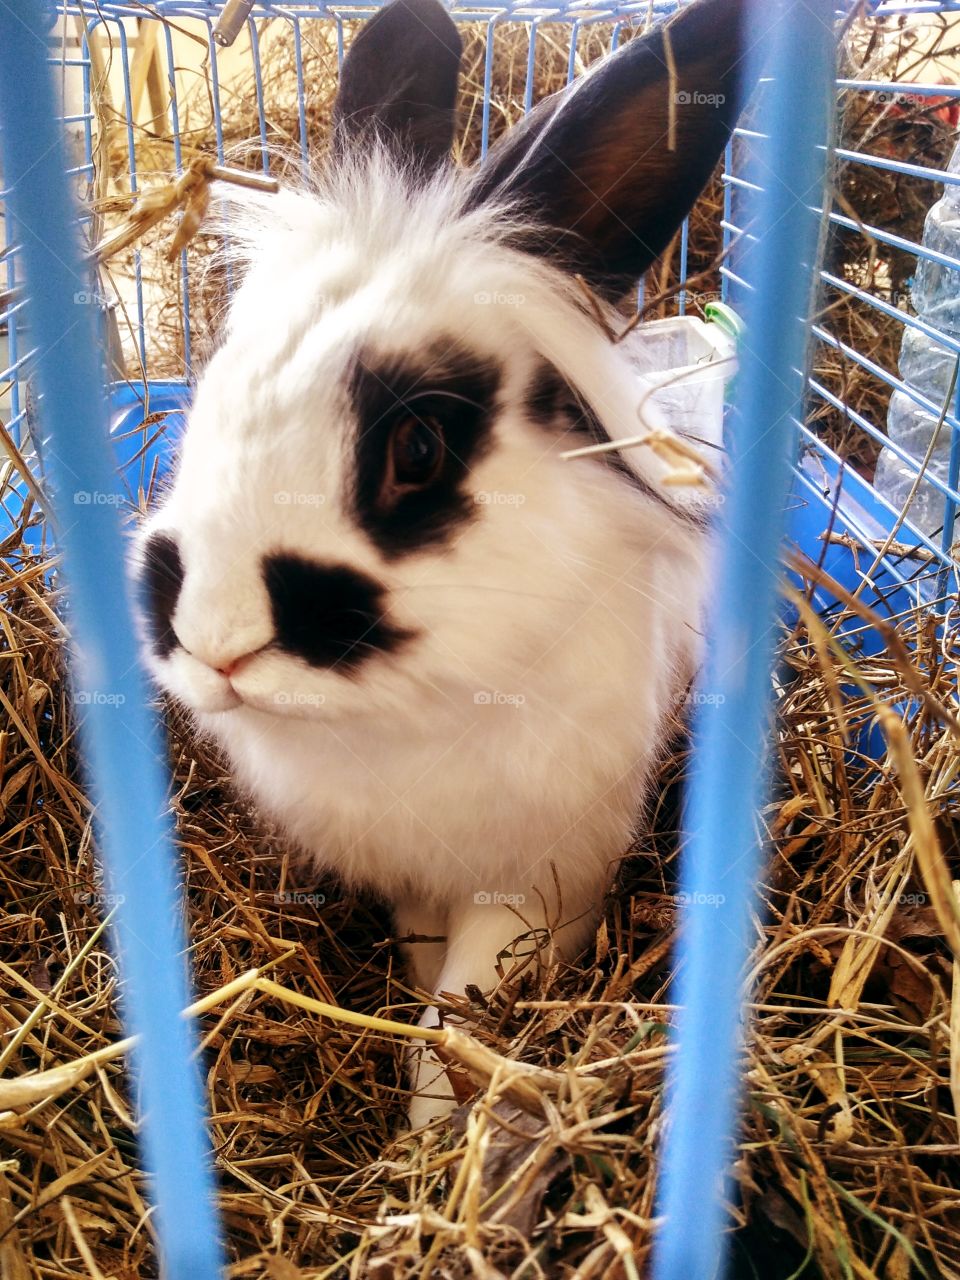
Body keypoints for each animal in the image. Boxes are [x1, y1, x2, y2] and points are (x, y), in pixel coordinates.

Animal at [133, 0, 749, 1128]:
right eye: (216, 381)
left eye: (416, 447)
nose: (214, 639)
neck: (407, 712)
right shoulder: (410, 877)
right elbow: (426, 971)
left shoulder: (542, 885)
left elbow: (465, 1004)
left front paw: (434, 1129)